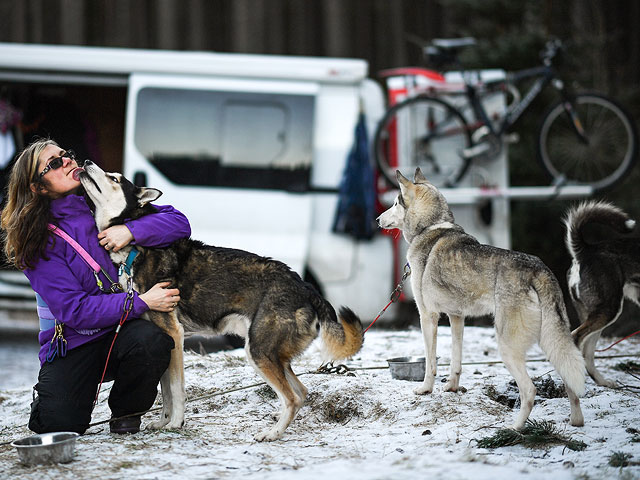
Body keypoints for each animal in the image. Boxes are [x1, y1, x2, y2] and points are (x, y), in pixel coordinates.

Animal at [77, 161, 362, 442]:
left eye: (114, 178)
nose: (86, 162)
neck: (135, 249)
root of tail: (305, 287)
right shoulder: (167, 341)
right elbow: (165, 391)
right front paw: (163, 422)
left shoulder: (174, 334)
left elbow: (176, 390)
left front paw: (176, 423)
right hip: (273, 355)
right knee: (301, 392)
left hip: (258, 352)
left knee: (291, 398)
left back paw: (271, 433)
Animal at [380, 171, 584, 430]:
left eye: (395, 203)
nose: (377, 219)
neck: (431, 226)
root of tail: (539, 269)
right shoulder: (457, 317)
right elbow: (456, 362)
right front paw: (452, 388)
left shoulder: (428, 317)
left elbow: (430, 364)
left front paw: (425, 389)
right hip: (552, 341)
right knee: (571, 382)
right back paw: (576, 422)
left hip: (508, 347)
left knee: (529, 391)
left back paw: (514, 429)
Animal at [564, 201, 640, 388]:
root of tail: (587, 251)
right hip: (609, 309)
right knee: (576, 339)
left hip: (597, 315)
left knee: (587, 354)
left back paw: (602, 381)